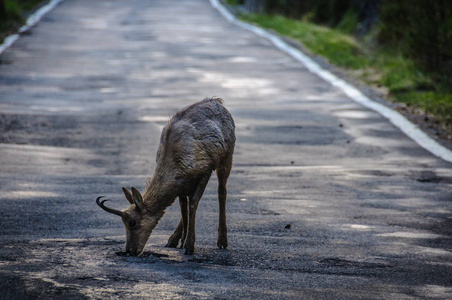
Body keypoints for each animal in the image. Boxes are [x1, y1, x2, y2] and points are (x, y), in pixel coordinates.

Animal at [96, 98, 237, 255]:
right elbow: (184, 207)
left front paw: (189, 246)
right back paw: (173, 240)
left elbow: (193, 203)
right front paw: (182, 241)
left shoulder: (204, 170)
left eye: (132, 222)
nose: (130, 250)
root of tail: (218, 101)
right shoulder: (182, 184)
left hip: (227, 156)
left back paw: (222, 241)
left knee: (222, 191)